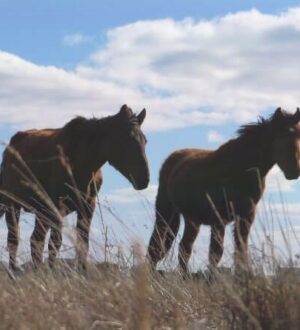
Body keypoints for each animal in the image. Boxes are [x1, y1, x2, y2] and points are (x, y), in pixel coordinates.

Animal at [0, 104, 150, 270]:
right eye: (125, 139)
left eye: (145, 140)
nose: (144, 179)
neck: (83, 163)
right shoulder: (57, 206)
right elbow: (55, 243)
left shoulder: (87, 206)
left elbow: (83, 243)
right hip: (13, 204)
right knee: (15, 240)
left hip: (40, 211)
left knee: (35, 240)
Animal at [147, 107, 300, 274]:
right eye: (282, 137)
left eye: (298, 137)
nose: (294, 172)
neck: (241, 168)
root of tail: (172, 159)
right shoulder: (219, 219)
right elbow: (216, 253)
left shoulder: (245, 216)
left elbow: (240, 249)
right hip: (165, 214)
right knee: (156, 247)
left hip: (192, 220)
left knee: (184, 248)